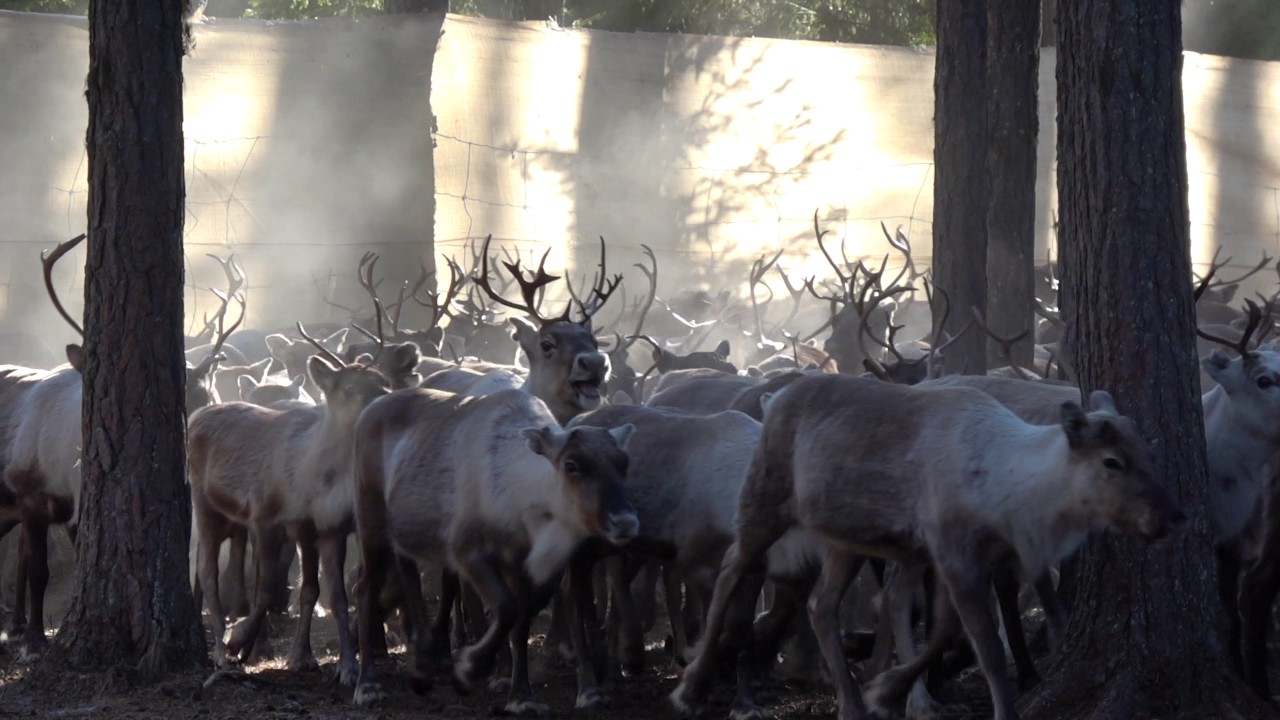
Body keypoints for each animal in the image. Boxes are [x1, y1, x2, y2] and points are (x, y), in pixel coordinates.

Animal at [670, 374, 1185, 720]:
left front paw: (887, 691)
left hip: (845, 539)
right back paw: (691, 685)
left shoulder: (967, 558)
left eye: (1148, 450)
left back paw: (852, 703)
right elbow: (983, 648)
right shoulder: (952, 553)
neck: (1010, 494)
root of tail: (774, 398)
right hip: (766, 493)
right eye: (1112, 461)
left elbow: (944, 631)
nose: (1172, 516)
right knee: (732, 568)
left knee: (822, 604)